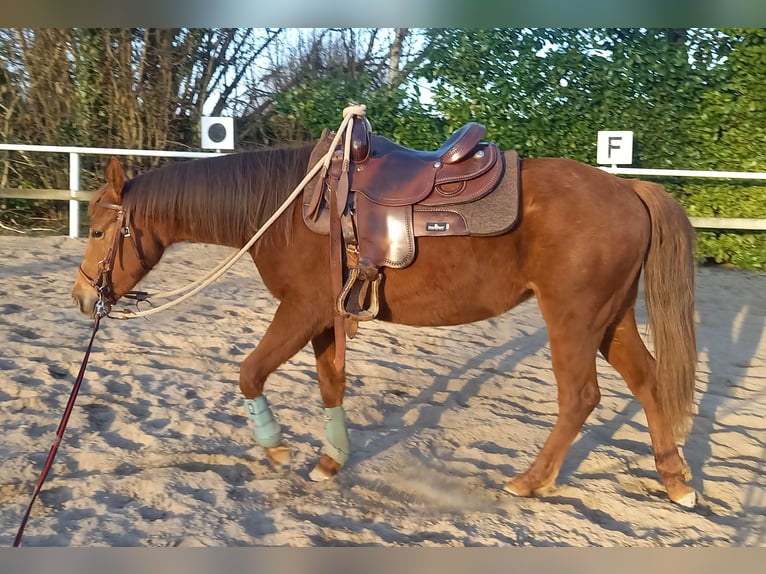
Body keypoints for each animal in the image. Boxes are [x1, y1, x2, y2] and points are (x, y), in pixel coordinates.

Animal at [73, 144, 704, 508]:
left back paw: (530, 481)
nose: (82, 297)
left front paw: (276, 449)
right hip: (610, 319)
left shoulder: (300, 311)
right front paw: (331, 460)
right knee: (648, 382)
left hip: (573, 319)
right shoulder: (325, 318)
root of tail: (628, 187)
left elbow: (249, 373)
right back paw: (676, 481)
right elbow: (331, 385)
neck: (285, 208)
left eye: (101, 230)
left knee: (579, 397)